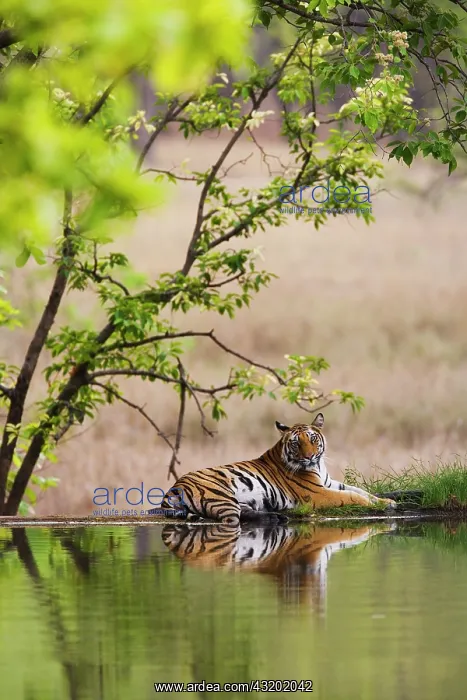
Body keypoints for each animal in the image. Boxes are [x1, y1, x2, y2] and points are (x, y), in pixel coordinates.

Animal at [151, 413, 396, 524]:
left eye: (313, 439)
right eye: (296, 443)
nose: (309, 456)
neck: (318, 465)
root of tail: (173, 487)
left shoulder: (329, 483)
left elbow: (360, 490)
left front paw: (387, 502)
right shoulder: (318, 493)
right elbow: (352, 497)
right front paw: (376, 506)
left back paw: (278, 516)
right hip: (220, 495)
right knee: (230, 519)